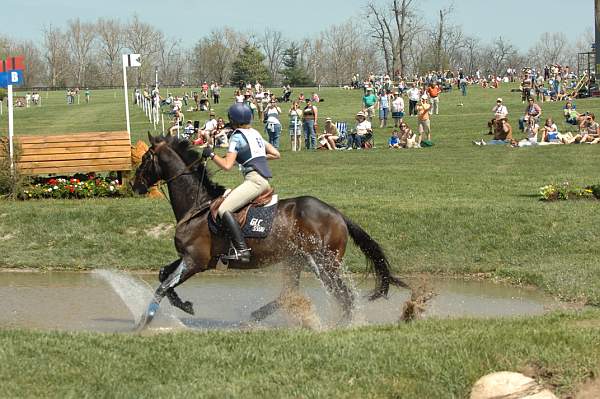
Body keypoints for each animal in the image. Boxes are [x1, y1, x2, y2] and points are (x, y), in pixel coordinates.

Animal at [131, 134, 408, 332]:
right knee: (290, 293)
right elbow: (163, 275)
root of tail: (338, 214)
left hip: (324, 264)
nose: (134, 186)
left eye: (144, 159)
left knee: (344, 296)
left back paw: (341, 326)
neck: (196, 205)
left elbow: (163, 286)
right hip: (296, 260)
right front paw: (184, 305)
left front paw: (145, 321)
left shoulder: (195, 261)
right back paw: (255, 317)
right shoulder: (192, 258)